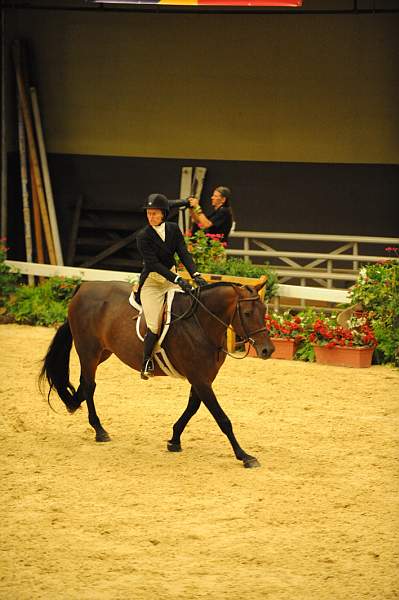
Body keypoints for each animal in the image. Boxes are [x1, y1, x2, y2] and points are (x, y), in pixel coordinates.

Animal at [40, 282, 276, 468]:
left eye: (264, 309)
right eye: (247, 313)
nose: (267, 350)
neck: (200, 323)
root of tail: (83, 288)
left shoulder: (202, 378)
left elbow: (192, 407)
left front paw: (174, 440)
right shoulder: (200, 379)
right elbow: (222, 418)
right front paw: (245, 456)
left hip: (104, 352)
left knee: (84, 385)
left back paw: (72, 403)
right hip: (88, 351)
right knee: (89, 385)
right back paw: (99, 430)